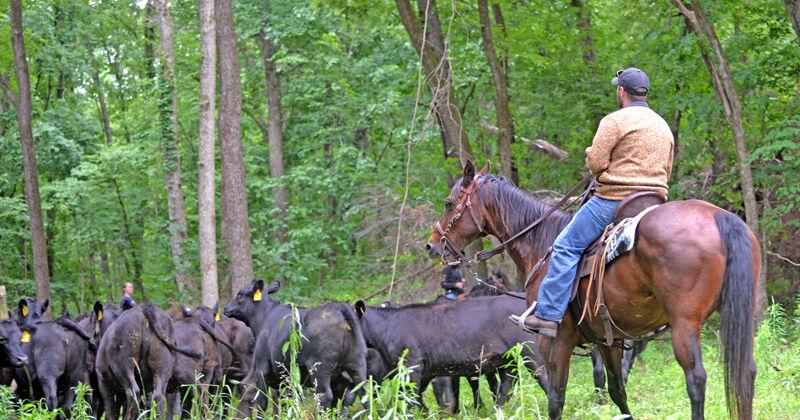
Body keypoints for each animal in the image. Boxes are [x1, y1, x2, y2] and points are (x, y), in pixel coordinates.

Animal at [223, 279, 367, 417]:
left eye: (240, 294)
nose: (225, 308)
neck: (262, 319)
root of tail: (339, 307)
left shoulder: (262, 366)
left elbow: (262, 401)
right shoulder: (285, 376)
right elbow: (284, 402)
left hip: (320, 368)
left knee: (324, 396)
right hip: (356, 364)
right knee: (364, 393)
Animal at [425, 161, 759, 420]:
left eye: (449, 203)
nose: (432, 245)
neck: (541, 242)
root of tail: (718, 216)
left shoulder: (554, 341)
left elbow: (556, 398)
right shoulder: (609, 340)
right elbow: (617, 391)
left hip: (684, 324)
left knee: (696, 379)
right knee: (746, 373)